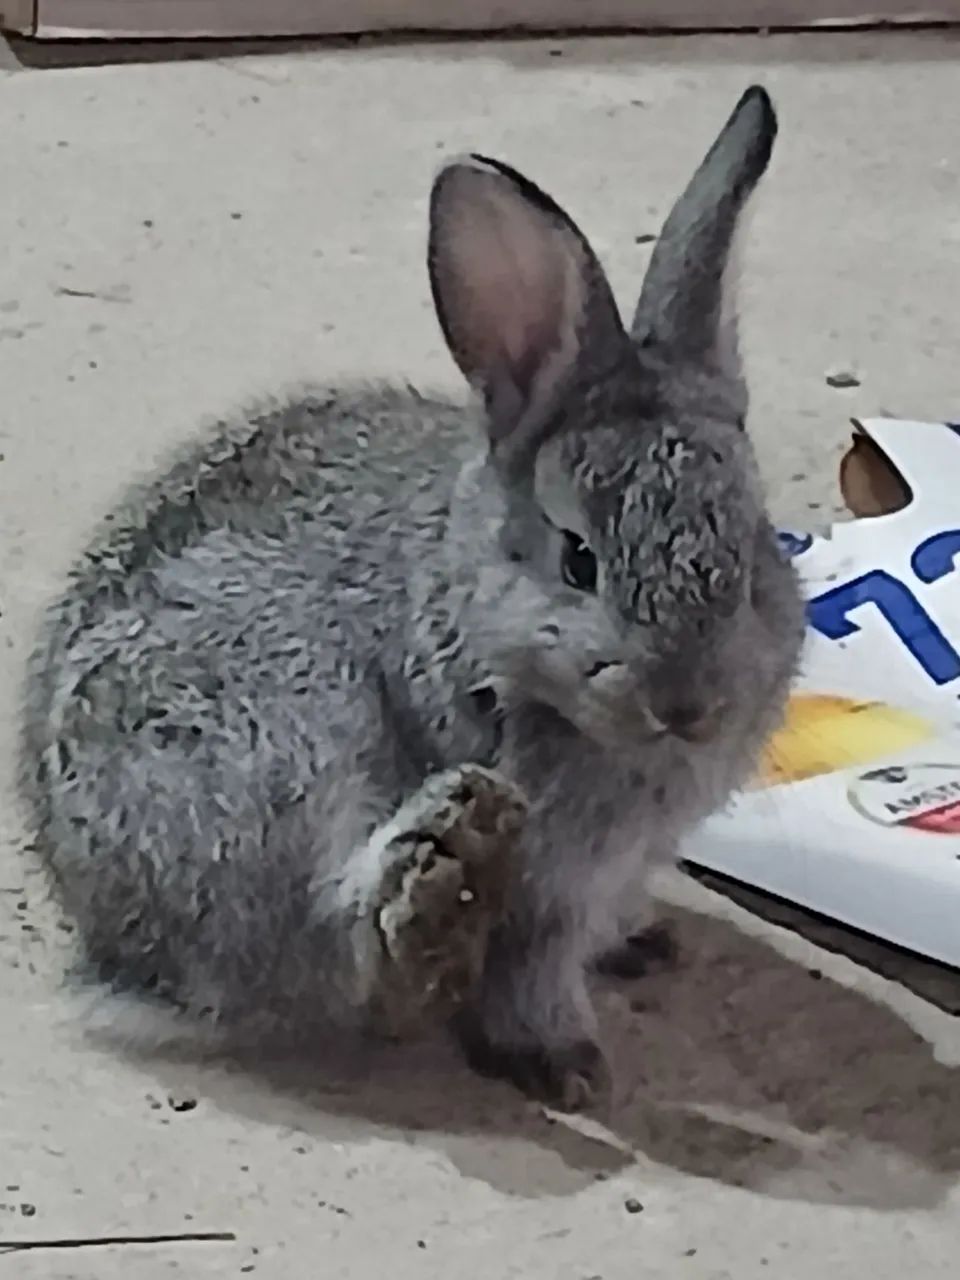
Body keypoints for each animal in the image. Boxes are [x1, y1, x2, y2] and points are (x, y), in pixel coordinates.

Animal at [19, 84, 804, 1110]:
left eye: (752, 544)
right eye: (578, 561)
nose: (689, 705)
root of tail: (118, 956)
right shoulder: (549, 889)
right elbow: (527, 978)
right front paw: (566, 1065)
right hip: (266, 748)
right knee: (343, 964)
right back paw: (431, 909)